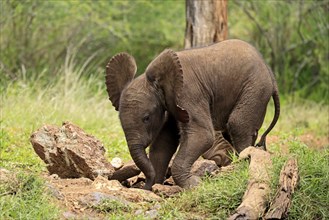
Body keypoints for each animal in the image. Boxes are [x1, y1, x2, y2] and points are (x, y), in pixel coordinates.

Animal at [105, 39, 280, 189]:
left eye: (146, 118)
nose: (145, 183)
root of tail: (272, 76)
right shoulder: (171, 103)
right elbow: (164, 142)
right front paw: (153, 187)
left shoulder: (188, 93)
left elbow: (202, 135)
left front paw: (194, 184)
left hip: (256, 88)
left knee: (238, 124)